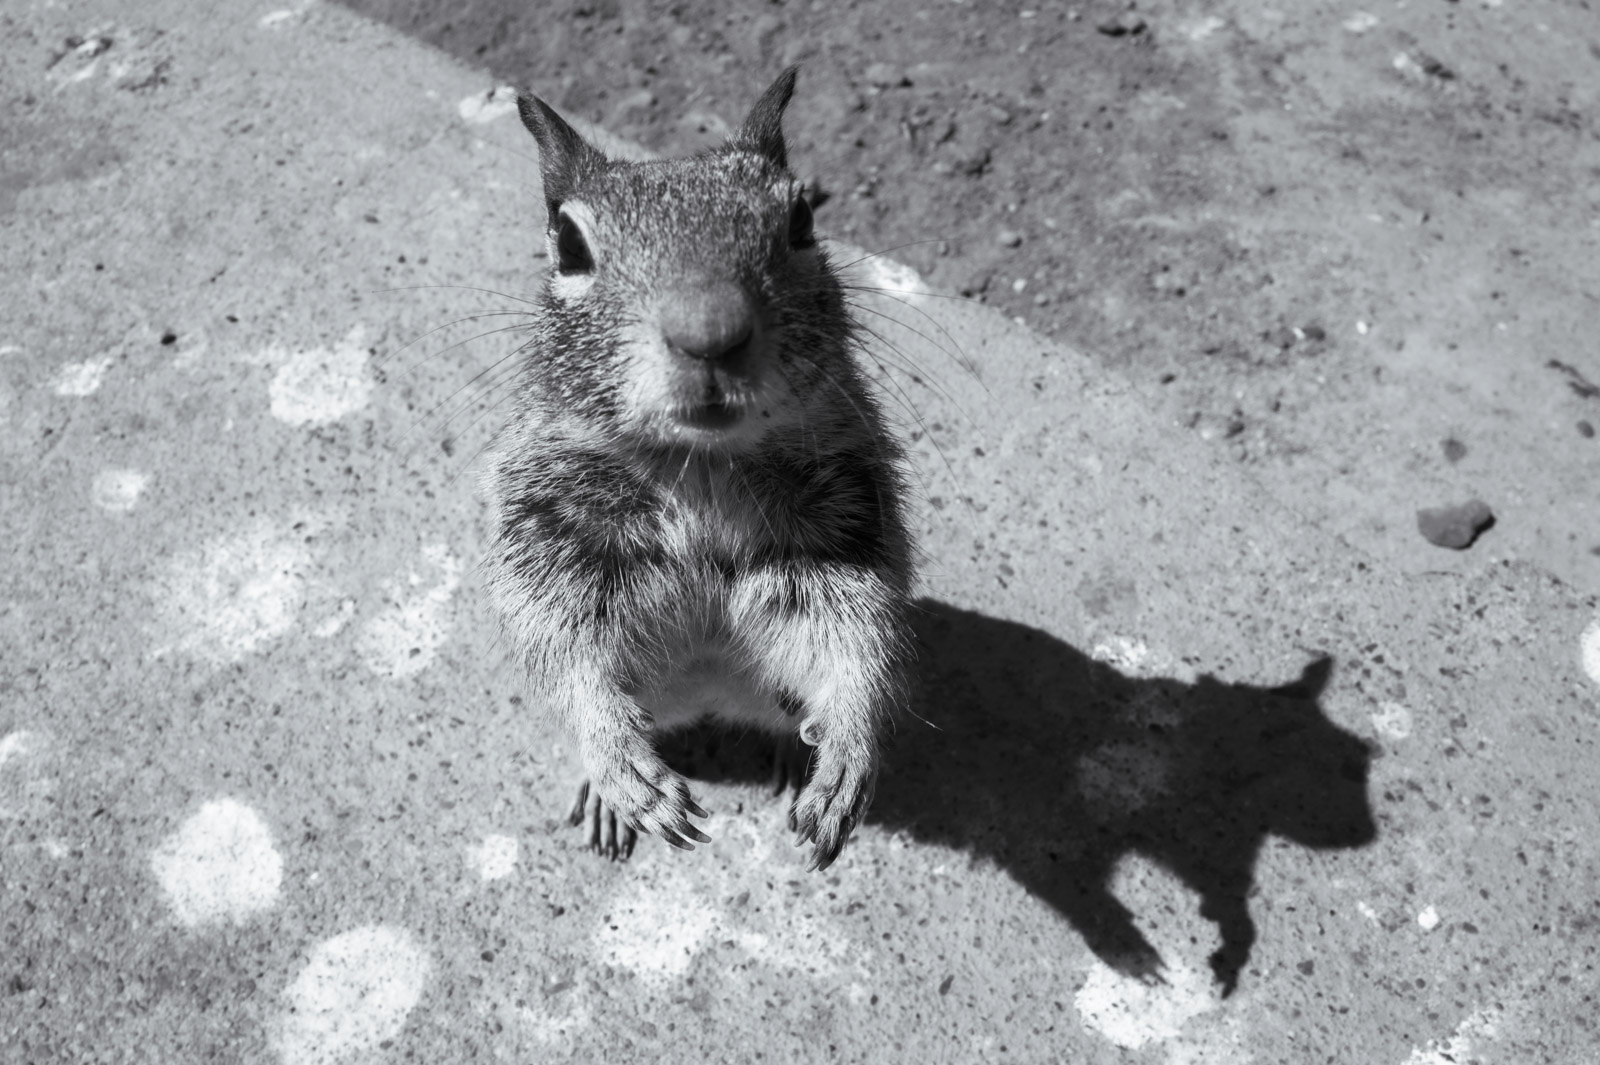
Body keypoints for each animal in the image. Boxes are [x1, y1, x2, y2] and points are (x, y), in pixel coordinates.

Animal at [480, 68, 915, 872]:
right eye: (568, 243)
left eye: (802, 218)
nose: (709, 330)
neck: (700, 465)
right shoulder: (546, 533)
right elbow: (563, 653)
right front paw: (618, 765)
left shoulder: (845, 526)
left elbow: (862, 635)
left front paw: (848, 752)